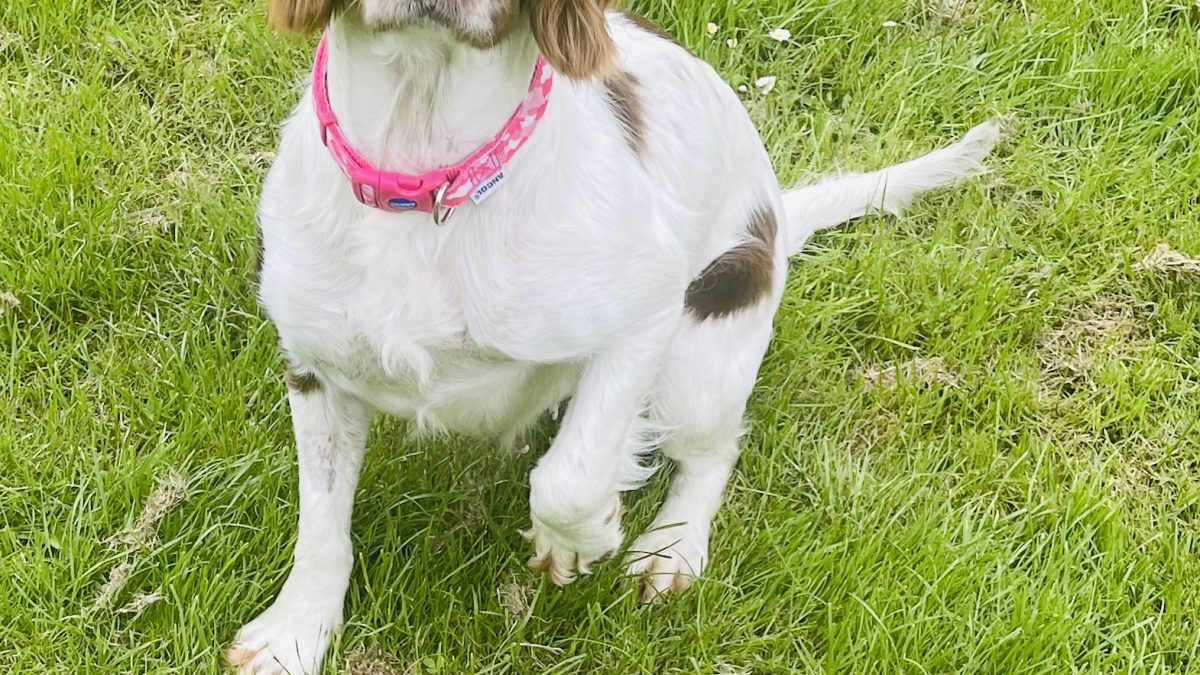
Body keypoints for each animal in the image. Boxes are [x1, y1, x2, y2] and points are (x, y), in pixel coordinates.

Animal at [229, 0, 998, 667]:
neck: (425, 177)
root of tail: (781, 218)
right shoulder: (313, 362)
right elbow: (321, 523)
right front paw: (294, 636)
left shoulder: (646, 312)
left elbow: (569, 476)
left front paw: (579, 537)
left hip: (700, 354)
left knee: (713, 450)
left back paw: (671, 548)